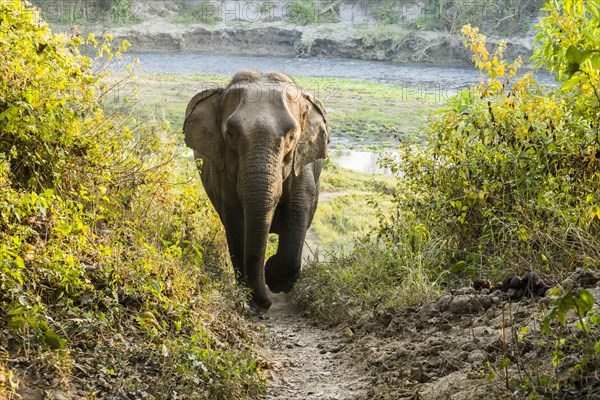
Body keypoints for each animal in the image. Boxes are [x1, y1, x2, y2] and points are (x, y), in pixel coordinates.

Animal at [185, 70, 330, 310]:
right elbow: (235, 223)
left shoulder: (301, 165)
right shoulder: (222, 173)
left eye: (292, 137)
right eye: (231, 135)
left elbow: (298, 210)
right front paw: (251, 297)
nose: (267, 303)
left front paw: (274, 279)